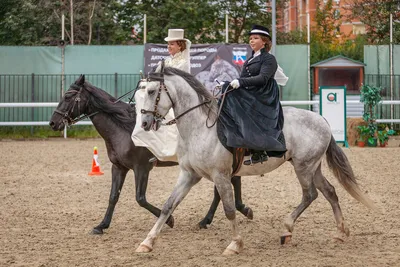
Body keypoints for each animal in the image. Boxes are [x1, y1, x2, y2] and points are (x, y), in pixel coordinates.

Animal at [48, 75, 252, 234]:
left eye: (68, 96)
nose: (53, 123)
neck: (123, 128)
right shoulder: (119, 168)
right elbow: (113, 196)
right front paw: (102, 225)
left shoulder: (142, 168)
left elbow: (140, 199)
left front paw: (169, 220)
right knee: (230, 182)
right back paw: (222, 215)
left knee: (225, 186)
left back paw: (226, 214)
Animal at [136, 67, 374, 255]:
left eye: (151, 91)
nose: (145, 123)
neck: (200, 127)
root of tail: (322, 120)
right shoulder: (189, 174)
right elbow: (168, 206)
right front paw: (147, 242)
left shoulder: (220, 176)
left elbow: (229, 209)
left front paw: (235, 245)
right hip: (313, 167)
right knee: (330, 192)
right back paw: (340, 232)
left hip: (303, 167)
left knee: (310, 195)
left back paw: (287, 229)